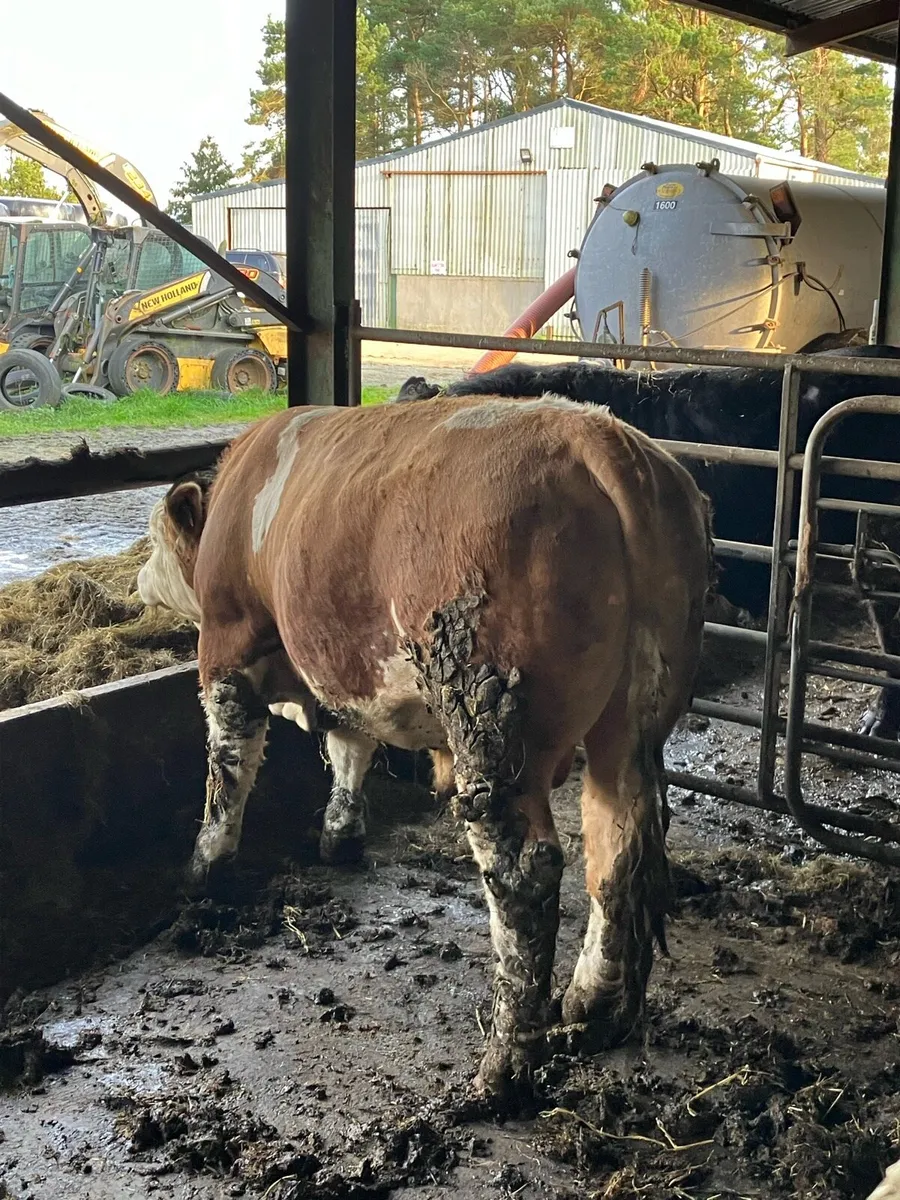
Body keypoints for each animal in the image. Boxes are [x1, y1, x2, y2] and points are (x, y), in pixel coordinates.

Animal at [138, 394, 713, 1096]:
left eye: (154, 538)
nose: (138, 577)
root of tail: (600, 437)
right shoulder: (344, 666)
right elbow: (350, 745)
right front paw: (340, 836)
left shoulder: (228, 644)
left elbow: (229, 761)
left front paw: (205, 867)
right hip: (630, 724)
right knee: (617, 846)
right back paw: (592, 1007)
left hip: (494, 729)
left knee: (523, 877)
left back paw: (504, 1065)